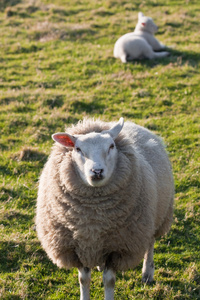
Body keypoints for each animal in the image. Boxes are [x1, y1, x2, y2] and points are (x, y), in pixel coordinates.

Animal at [35, 117, 173, 300]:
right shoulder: (78, 247)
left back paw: (147, 273)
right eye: (78, 149)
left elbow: (109, 281)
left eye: (111, 146)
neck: (94, 219)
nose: (97, 171)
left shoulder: (117, 247)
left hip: (155, 218)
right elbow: (83, 279)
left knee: (150, 243)